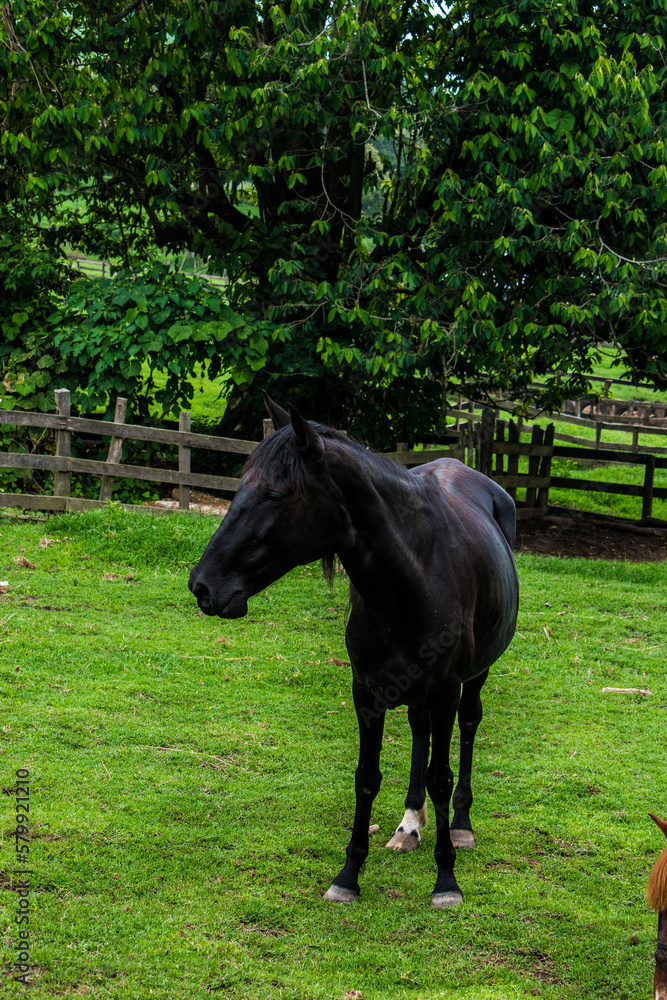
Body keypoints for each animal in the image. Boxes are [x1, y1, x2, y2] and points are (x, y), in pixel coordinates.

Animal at [189, 393, 519, 907]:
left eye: (274, 496)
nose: (202, 586)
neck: (413, 579)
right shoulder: (367, 692)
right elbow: (367, 778)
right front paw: (348, 874)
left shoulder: (445, 689)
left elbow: (441, 776)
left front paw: (446, 879)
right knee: (420, 730)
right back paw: (410, 823)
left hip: (474, 677)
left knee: (468, 726)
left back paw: (461, 826)